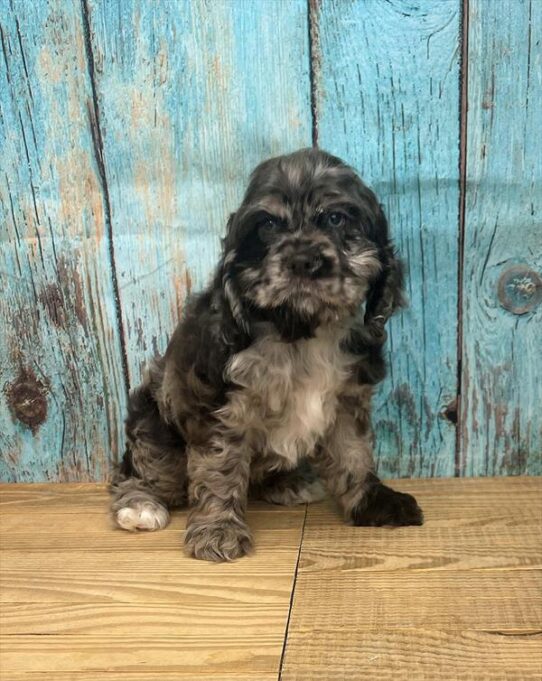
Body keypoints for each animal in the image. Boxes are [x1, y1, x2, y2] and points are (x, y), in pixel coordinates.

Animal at [110, 150, 424, 564]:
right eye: (269, 225)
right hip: (152, 424)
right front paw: (218, 530)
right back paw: (140, 504)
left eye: (336, 218)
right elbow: (219, 466)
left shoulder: (346, 401)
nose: (304, 260)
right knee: (138, 471)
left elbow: (354, 454)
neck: (297, 330)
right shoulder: (220, 406)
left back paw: (287, 482)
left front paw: (372, 502)